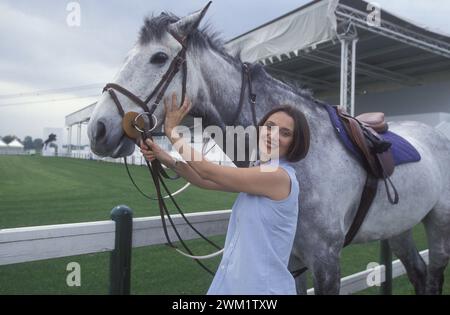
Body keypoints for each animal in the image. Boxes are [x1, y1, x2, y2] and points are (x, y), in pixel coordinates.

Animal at [88, 8, 450, 296]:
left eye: (159, 57)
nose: (97, 130)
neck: (304, 154)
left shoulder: (326, 260)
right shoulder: (291, 258)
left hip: (438, 224)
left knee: (433, 275)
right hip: (399, 227)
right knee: (418, 274)